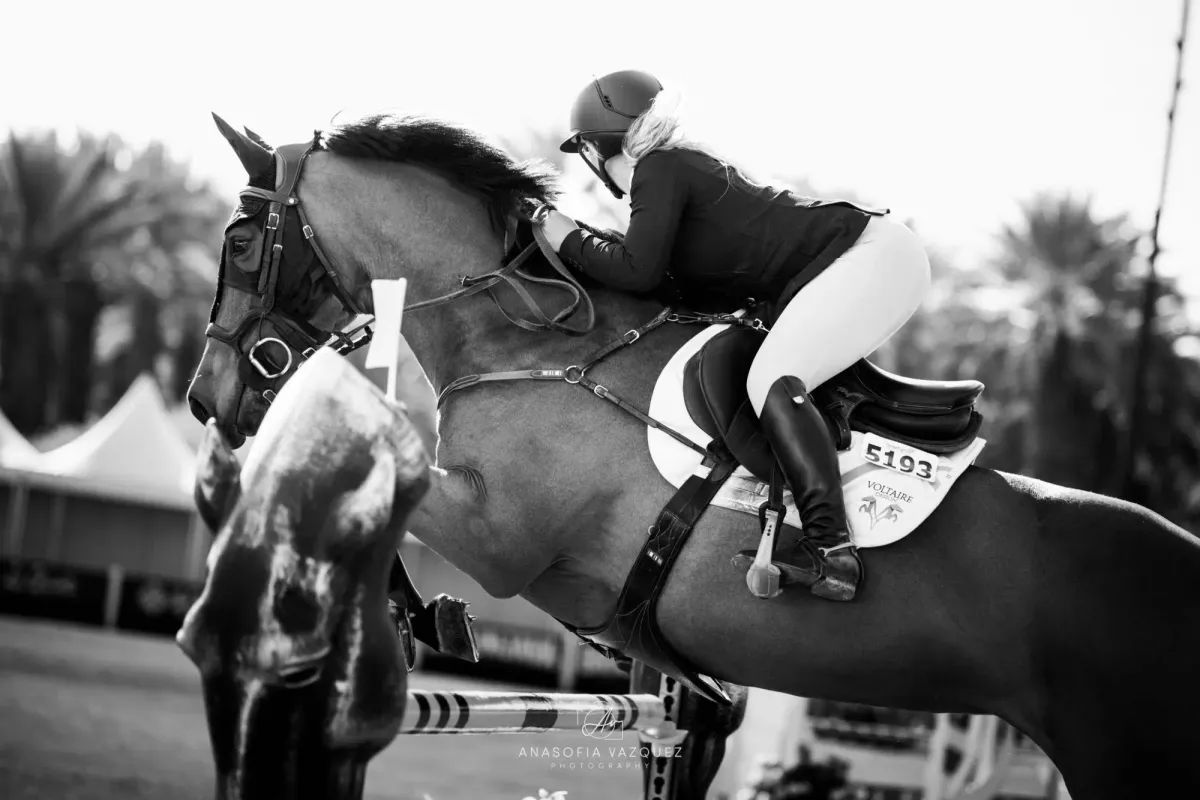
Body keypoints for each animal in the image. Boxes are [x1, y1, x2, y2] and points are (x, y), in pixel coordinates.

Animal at [187, 113, 1200, 799]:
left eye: (237, 240)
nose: (208, 398)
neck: (522, 335)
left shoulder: (500, 536)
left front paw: (411, 613)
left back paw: (824, 560)